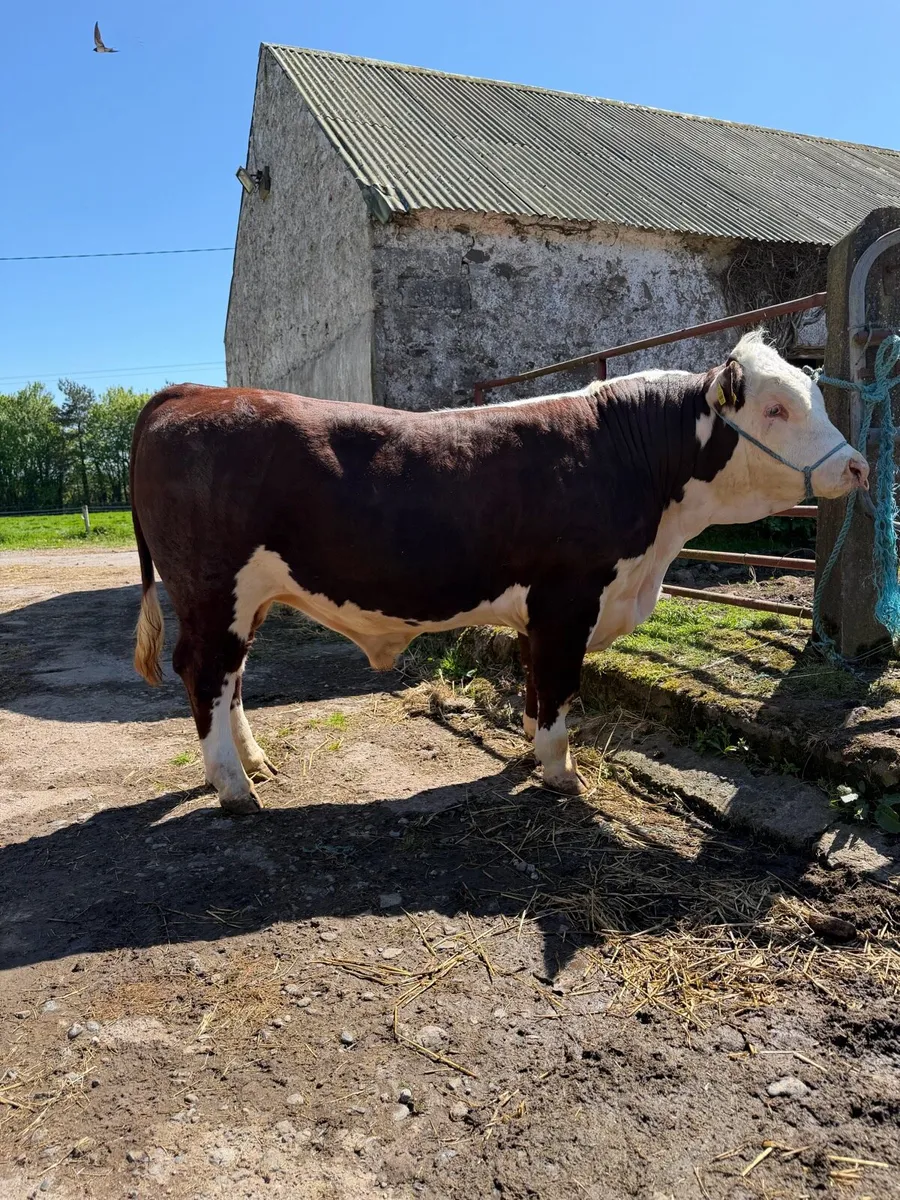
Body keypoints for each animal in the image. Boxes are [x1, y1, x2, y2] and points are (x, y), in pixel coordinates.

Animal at [130, 332, 868, 813]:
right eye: (775, 408)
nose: (857, 465)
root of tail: (193, 393)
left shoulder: (536, 611)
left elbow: (536, 687)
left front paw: (530, 753)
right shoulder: (569, 599)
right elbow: (561, 687)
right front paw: (561, 771)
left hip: (246, 598)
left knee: (232, 677)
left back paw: (252, 762)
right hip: (212, 588)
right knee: (205, 672)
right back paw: (233, 787)